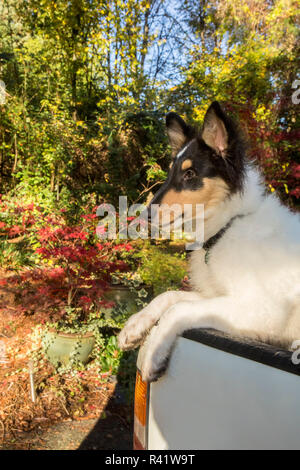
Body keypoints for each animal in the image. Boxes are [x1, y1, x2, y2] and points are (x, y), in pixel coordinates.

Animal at [118, 101, 300, 384]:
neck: (228, 226)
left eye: (190, 173)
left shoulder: (264, 310)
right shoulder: (215, 295)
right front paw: (134, 326)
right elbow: (170, 296)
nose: (144, 216)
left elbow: (178, 309)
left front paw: (152, 354)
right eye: (171, 173)